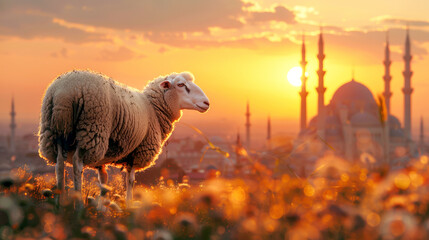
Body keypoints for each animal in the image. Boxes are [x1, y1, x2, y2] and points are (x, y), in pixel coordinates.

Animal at [38, 70, 209, 203]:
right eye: (181, 85)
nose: (206, 103)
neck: (154, 109)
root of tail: (62, 93)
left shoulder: (103, 159)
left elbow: (104, 181)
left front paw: (102, 209)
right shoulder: (138, 152)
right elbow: (130, 181)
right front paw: (128, 205)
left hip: (56, 132)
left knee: (59, 165)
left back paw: (60, 204)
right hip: (91, 130)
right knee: (77, 164)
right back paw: (78, 205)